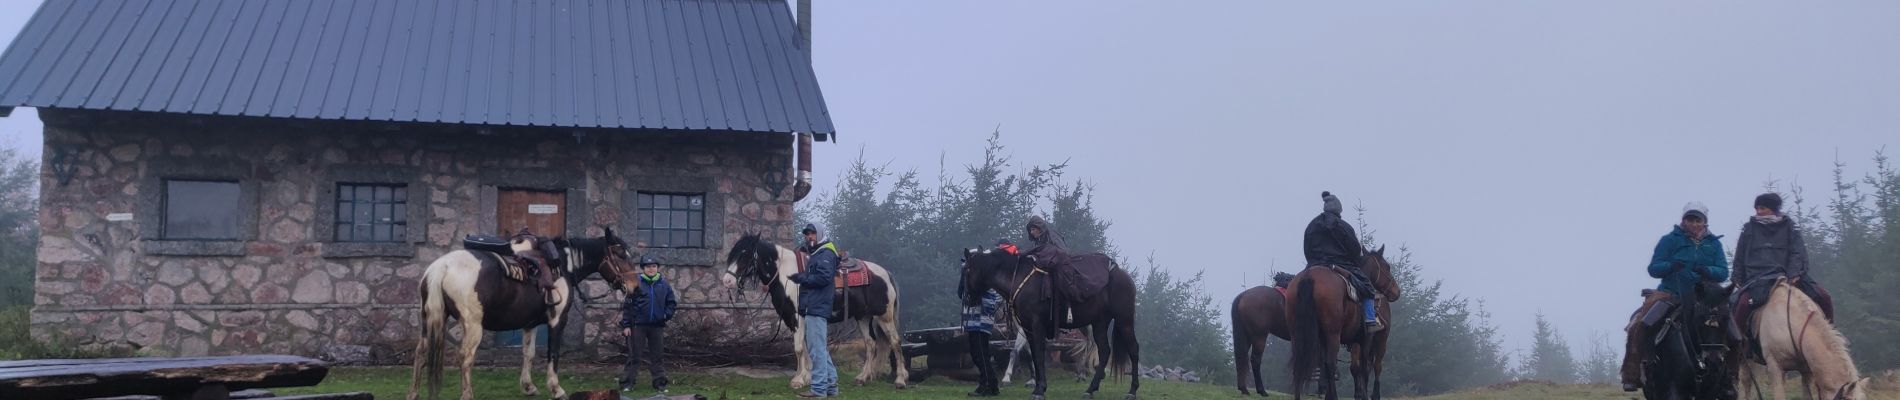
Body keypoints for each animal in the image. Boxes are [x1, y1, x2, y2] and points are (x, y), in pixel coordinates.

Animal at [404, 228, 642, 400]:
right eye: (621, 254)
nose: (635, 287)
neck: (563, 265)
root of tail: (441, 266)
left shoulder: (530, 323)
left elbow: (529, 353)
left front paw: (528, 387)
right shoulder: (557, 320)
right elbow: (552, 354)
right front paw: (556, 389)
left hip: (430, 319)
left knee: (420, 353)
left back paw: (413, 394)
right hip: (472, 325)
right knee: (466, 356)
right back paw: (467, 395)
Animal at [718, 233, 912, 388]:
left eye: (745, 255)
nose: (727, 281)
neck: (787, 276)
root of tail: (886, 273)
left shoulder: (798, 317)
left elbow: (798, 348)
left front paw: (798, 380)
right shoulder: (791, 318)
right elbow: (803, 347)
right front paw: (806, 377)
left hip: (884, 316)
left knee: (895, 341)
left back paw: (900, 380)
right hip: (863, 316)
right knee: (871, 344)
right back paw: (862, 378)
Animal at [957, 246, 1132, 400]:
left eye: (965, 270)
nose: (966, 299)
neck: (1018, 279)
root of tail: (1123, 275)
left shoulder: (1035, 326)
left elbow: (1032, 354)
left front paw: (1035, 388)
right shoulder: (1027, 329)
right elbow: (1032, 355)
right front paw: (1034, 383)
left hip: (1121, 322)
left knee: (1126, 349)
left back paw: (1126, 390)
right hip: (1099, 323)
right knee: (1103, 350)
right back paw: (1090, 387)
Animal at [1284, 246, 1406, 400]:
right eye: (1387, 267)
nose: (1396, 292)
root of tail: (1309, 277)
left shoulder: (1348, 341)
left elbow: (1355, 368)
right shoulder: (1366, 339)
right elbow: (1365, 368)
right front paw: (1366, 394)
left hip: (1297, 334)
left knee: (1301, 362)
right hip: (1343, 336)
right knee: (1367, 365)